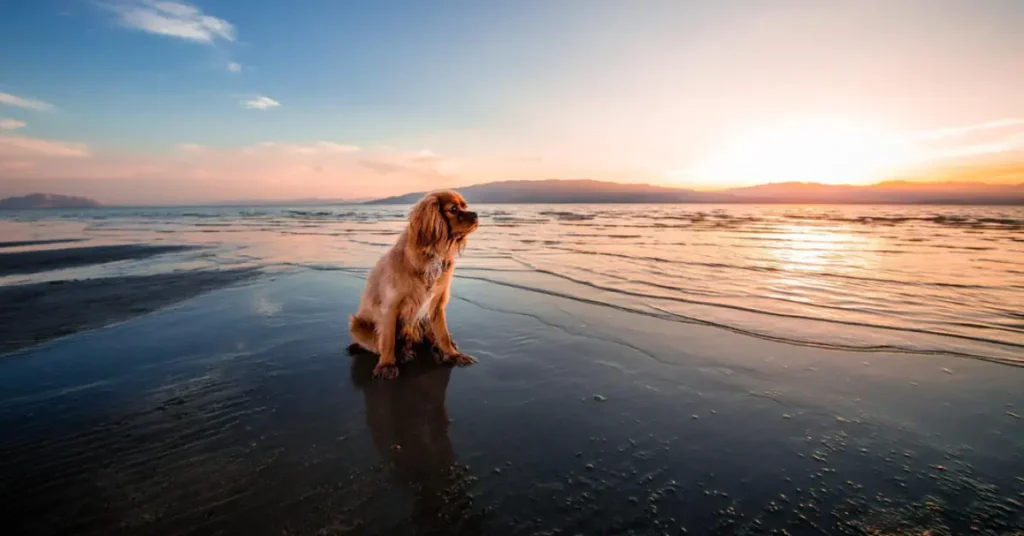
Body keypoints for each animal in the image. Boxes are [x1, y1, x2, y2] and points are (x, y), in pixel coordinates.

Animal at [350, 190, 477, 379]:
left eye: (465, 206)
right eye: (453, 209)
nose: (476, 214)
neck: (432, 254)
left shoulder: (436, 305)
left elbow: (443, 334)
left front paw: (452, 354)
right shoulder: (390, 307)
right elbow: (388, 340)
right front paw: (387, 364)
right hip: (357, 325)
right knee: (379, 344)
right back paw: (402, 353)